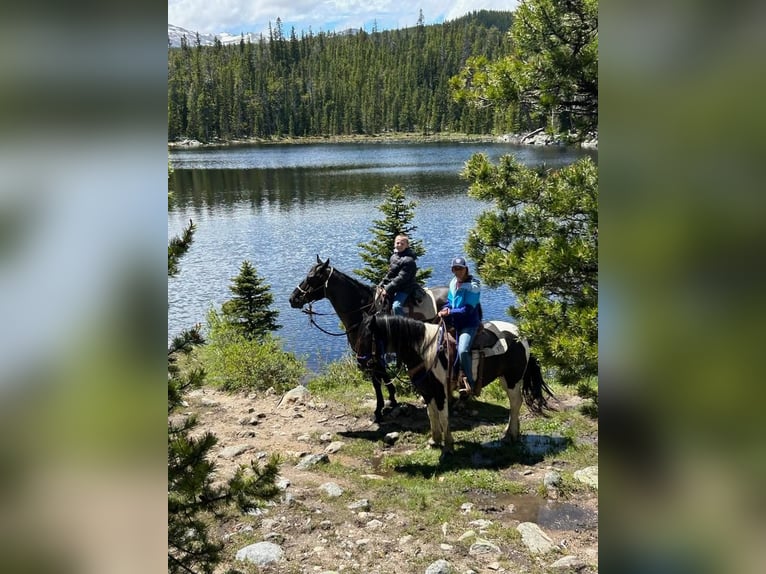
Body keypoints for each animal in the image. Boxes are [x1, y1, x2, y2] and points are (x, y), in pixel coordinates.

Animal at [290, 258, 450, 426]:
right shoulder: (375, 355)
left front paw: (378, 411)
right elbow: (384, 376)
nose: (292, 299)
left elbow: (377, 382)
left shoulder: (370, 355)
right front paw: (392, 400)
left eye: (311, 278)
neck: (363, 311)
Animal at [356, 316, 556, 454]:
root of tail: (523, 336)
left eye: (368, 338)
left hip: (513, 379)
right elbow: (431, 415)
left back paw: (510, 435)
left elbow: (444, 417)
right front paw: (434, 440)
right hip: (505, 379)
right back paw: (511, 433)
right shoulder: (427, 390)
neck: (425, 350)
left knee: (515, 403)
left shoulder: (440, 391)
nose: (361, 363)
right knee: (516, 404)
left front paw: (448, 446)